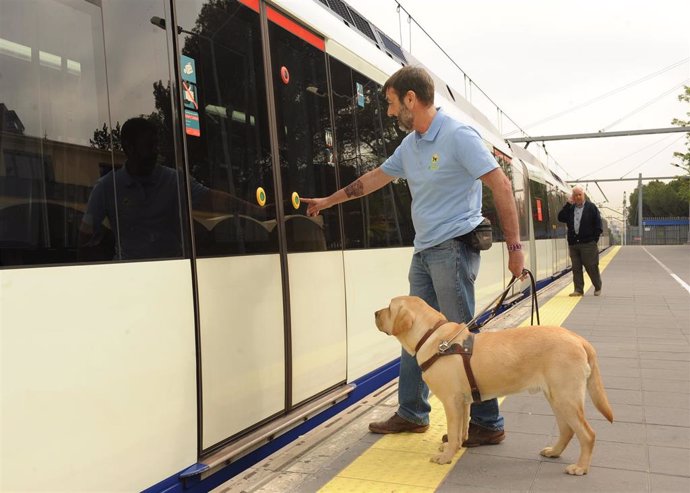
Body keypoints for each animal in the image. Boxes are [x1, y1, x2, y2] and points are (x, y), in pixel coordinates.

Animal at [374, 296, 612, 472]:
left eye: (389, 307)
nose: (375, 313)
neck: (435, 339)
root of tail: (579, 340)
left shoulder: (451, 401)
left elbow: (453, 431)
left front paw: (446, 456)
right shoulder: (463, 402)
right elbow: (460, 431)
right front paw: (454, 447)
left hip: (566, 397)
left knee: (587, 434)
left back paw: (580, 467)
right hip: (556, 397)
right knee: (567, 430)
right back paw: (554, 451)